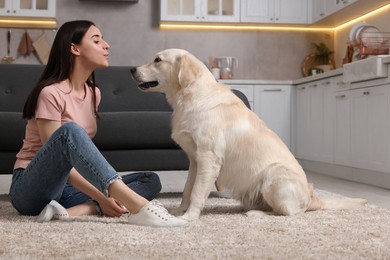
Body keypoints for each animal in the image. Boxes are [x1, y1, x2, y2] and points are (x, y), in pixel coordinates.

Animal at [131, 48, 366, 219]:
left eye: (158, 60)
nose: (132, 69)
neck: (189, 95)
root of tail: (312, 197)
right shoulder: (195, 159)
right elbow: (189, 189)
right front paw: (179, 211)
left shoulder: (208, 158)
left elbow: (197, 192)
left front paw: (188, 218)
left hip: (273, 175)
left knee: (289, 212)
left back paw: (255, 214)